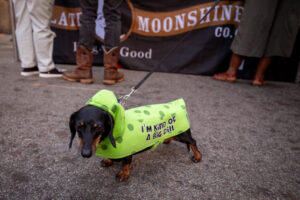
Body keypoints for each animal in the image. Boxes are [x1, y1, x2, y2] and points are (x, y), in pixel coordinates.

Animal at [68, 90, 202, 181]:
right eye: (79, 126)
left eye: (98, 127)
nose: (85, 154)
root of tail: (178, 103)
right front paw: (108, 160)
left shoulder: (128, 152)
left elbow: (126, 164)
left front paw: (124, 174)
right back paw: (167, 139)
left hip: (182, 134)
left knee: (192, 141)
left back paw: (198, 156)